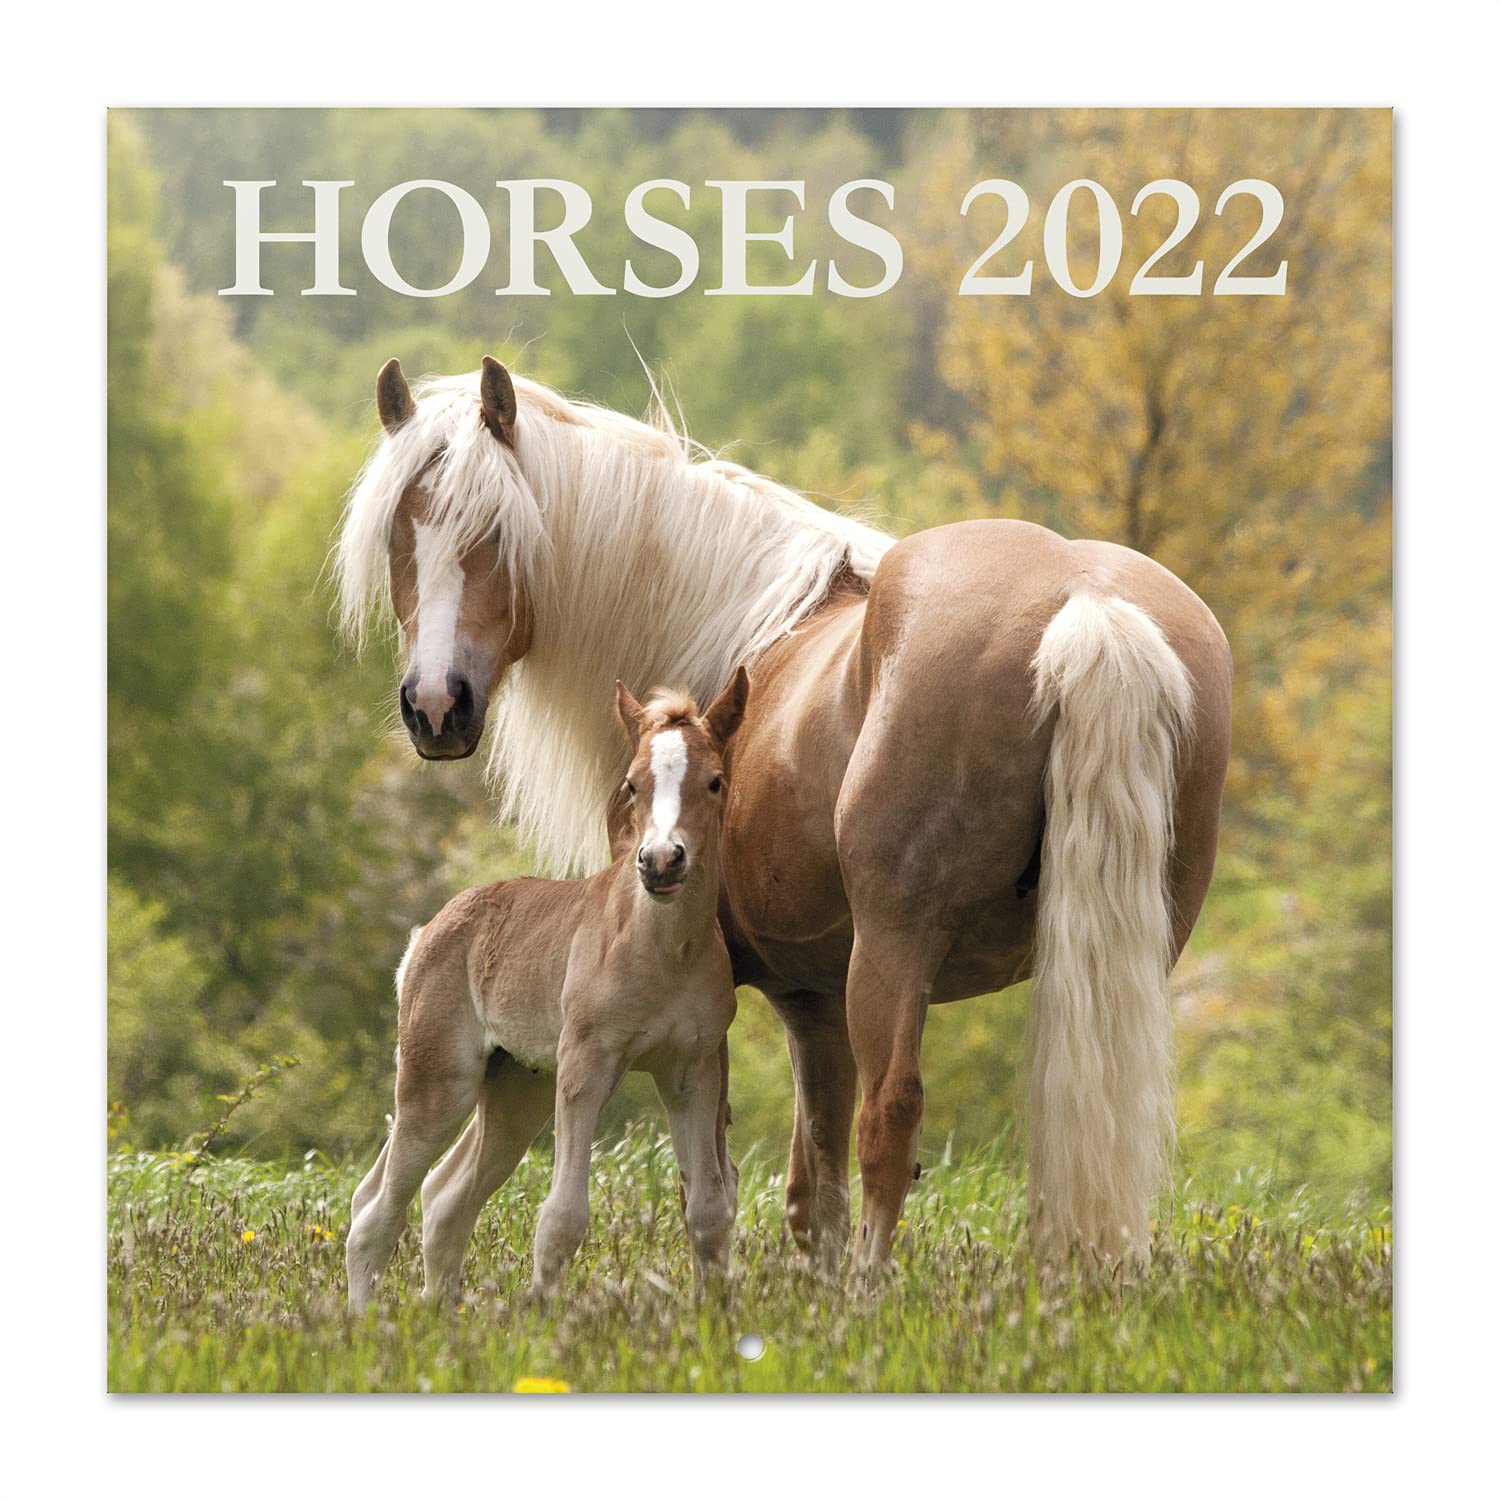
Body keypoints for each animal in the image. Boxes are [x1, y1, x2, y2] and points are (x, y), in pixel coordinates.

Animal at [346, 672, 749, 1313]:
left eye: (715, 781)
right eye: (632, 784)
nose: (661, 861)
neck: (664, 950)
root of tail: (426, 933)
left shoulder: (692, 1070)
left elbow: (709, 1211)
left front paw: (713, 1321)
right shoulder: (586, 1062)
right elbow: (562, 1217)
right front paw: (545, 1323)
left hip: (517, 1087)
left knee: (442, 1198)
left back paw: (439, 1317)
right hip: (439, 1083)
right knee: (377, 1211)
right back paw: (363, 1324)